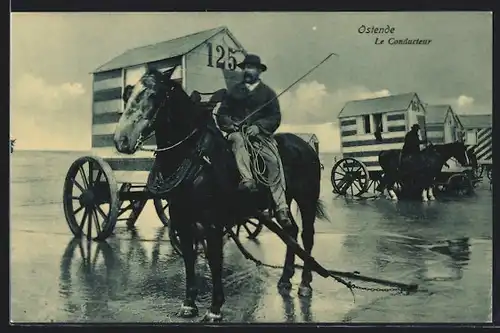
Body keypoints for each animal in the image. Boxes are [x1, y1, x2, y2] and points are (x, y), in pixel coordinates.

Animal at [113, 68, 328, 322]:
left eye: (154, 94)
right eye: (128, 93)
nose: (121, 140)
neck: (196, 158)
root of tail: (306, 145)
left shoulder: (213, 223)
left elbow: (215, 261)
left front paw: (215, 309)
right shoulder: (181, 219)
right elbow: (189, 259)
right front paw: (189, 304)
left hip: (307, 199)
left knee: (307, 236)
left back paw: (305, 283)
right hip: (281, 202)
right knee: (290, 231)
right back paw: (285, 279)